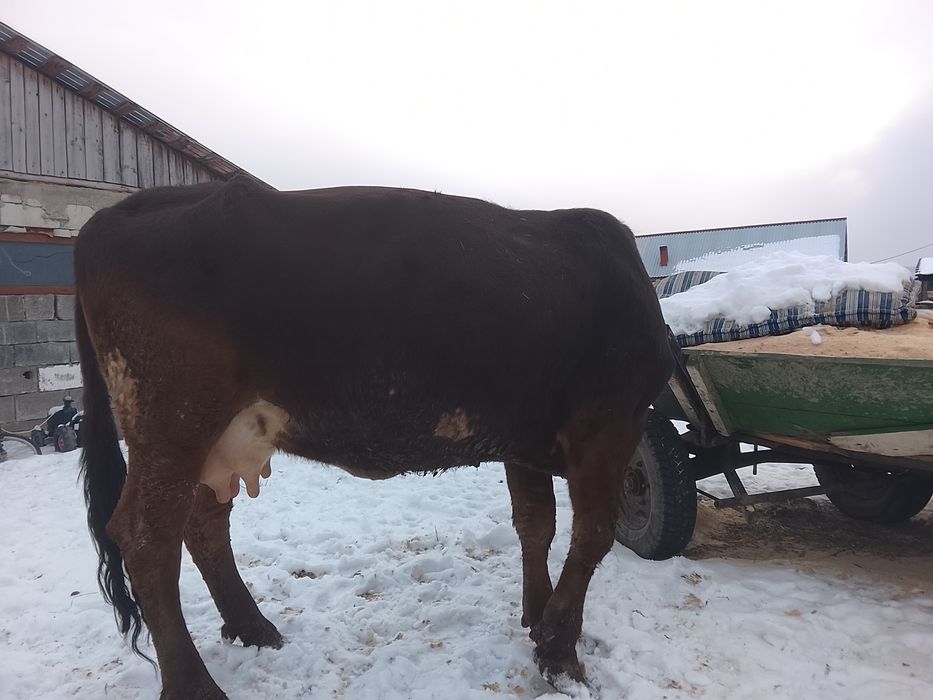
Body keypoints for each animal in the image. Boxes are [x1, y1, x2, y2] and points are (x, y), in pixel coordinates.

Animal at [74, 176, 673, 699]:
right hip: (173, 423)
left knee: (202, 527)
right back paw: (194, 685)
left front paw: (536, 617)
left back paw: (252, 626)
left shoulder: (525, 439)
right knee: (146, 538)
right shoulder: (610, 422)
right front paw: (560, 651)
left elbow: (535, 527)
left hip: (218, 441)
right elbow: (591, 536)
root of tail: (115, 213)